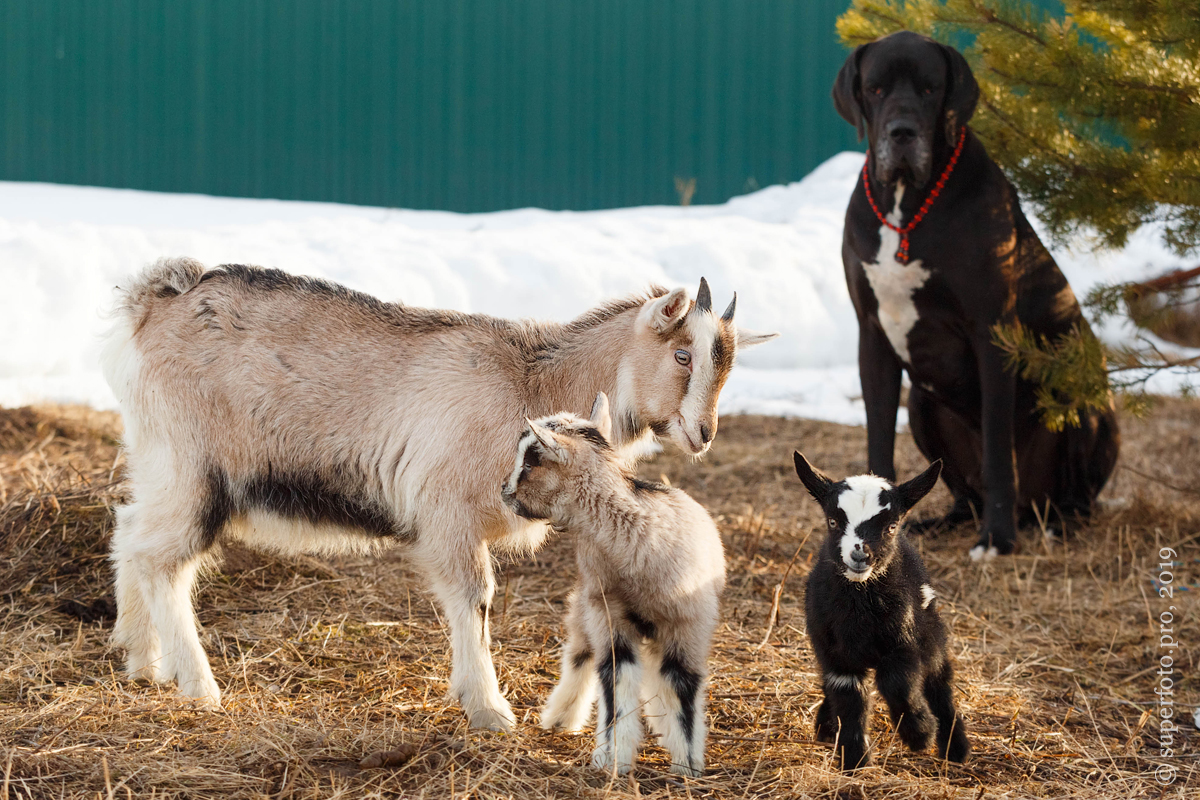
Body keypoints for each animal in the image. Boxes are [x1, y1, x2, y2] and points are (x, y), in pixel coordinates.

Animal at [103, 260, 777, 729]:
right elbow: (474, 598)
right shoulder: (448, 513)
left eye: (727, 365)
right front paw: (489, 709)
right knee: (161, 560)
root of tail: (152, 301)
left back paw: (140, 662)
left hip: (159, 462)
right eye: (683, 354)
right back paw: (198, 686)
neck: (531, 379)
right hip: (194, 470)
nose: (703, 434)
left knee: (130, 532)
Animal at [830, 29, 1118, 556]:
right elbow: (878, 439)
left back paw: (1053, 524)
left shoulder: (992, 332)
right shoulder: (872, 335)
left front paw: (996, 540)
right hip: (921, 406)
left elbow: (999, 453)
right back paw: (939, 522)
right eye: (876, 89)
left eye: (929, 89)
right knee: (964, 495)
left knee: (1074, 498)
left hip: (1077, 397)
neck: (907, 207)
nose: (902, 133)